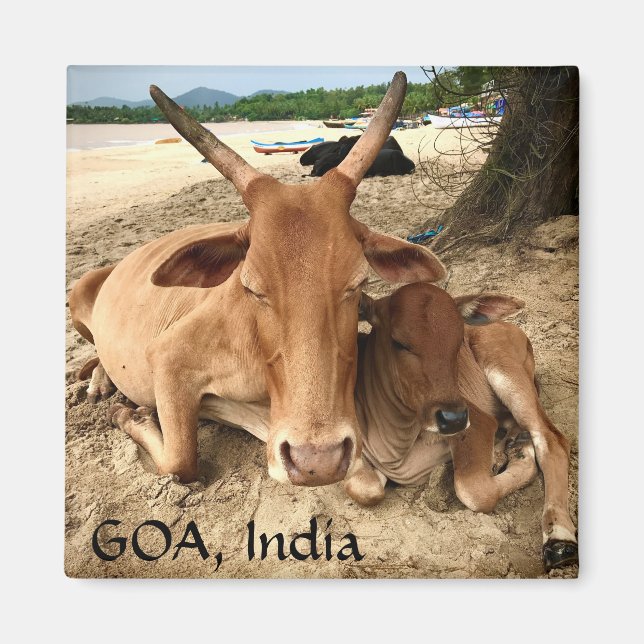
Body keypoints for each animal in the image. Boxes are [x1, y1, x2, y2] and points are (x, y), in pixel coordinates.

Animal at [68, 71, 448, 488]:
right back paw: (100, 383)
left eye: (357, 284)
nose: (317, 460)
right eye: (251, 288)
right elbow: (180, 462)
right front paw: (128, 414)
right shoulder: (166, 357)